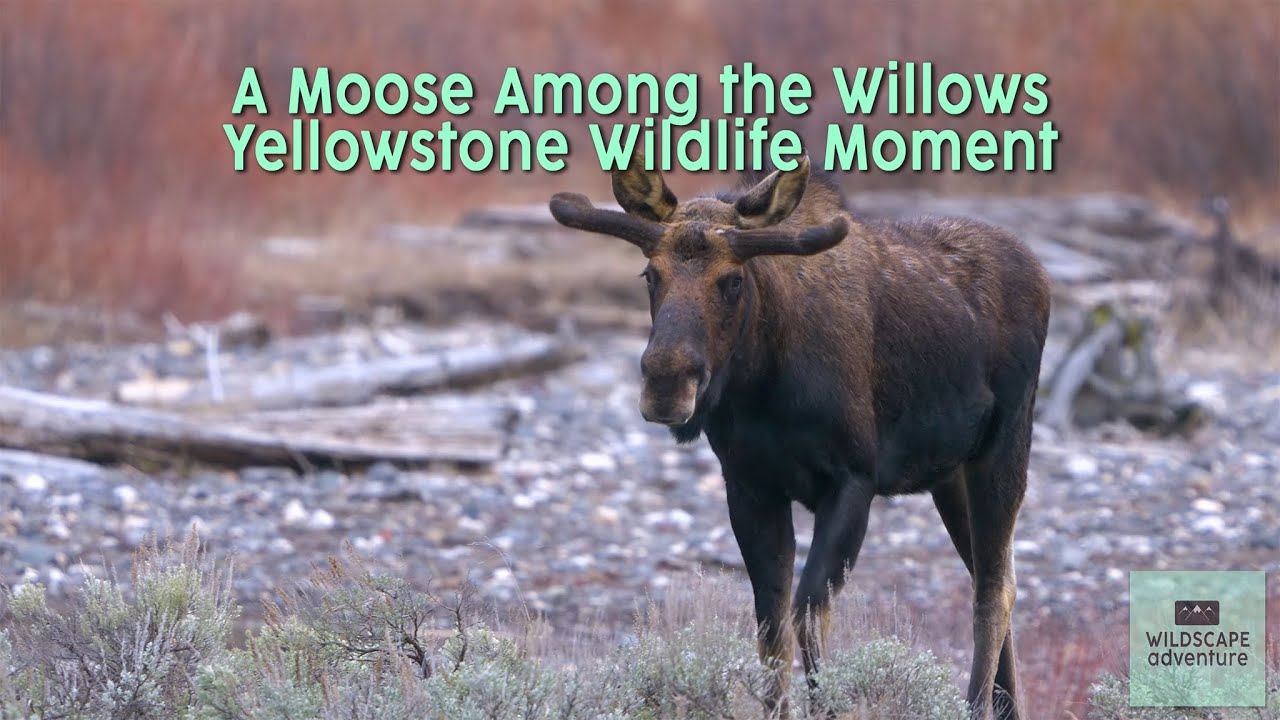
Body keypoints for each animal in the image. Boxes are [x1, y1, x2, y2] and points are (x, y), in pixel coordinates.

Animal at [549, 154, 1050, 719]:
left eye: (732, 281)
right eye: (650, 274)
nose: (665, 382)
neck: (763, 382)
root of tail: (1039, 270)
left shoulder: (854, 480)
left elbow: (808, 612)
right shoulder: (750, 487)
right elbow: (771, 628)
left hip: (1005, 445)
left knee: (994, 589)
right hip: (949, 475)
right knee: (993, 575)